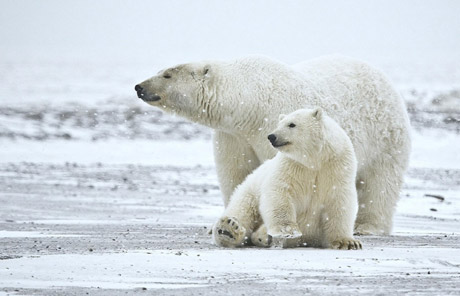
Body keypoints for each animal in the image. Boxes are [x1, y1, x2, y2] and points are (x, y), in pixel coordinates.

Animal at [135, 55, 412, 236]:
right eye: (162, 69)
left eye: (167, 74)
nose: (139, 86)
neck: (249, 103)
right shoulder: (234, 135)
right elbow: (236, 173)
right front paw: (225, 222)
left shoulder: (272, 123)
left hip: (385, 136)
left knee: (380, 183)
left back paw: (368, 227)